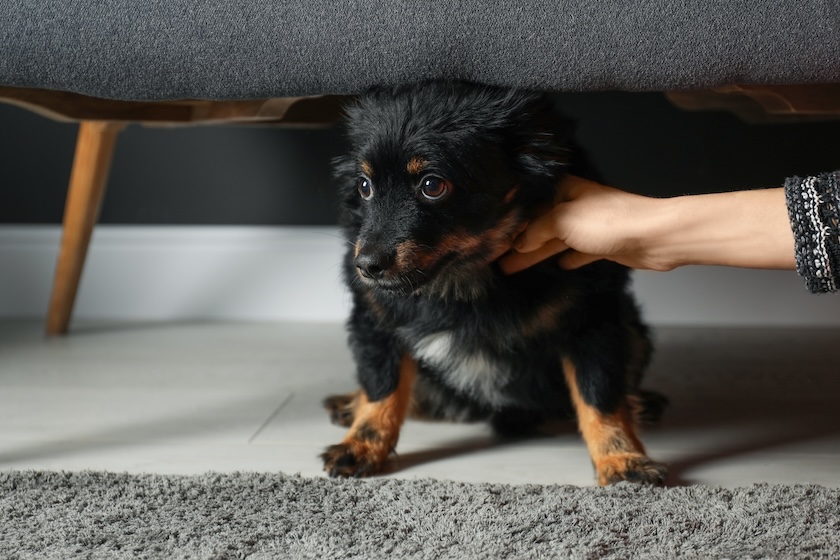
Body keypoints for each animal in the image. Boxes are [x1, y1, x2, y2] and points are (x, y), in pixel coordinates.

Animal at [324, 80, 668, 486]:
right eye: (364, 186)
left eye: (432, 185)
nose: (366, 266)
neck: (463, 283)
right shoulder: (375, 322)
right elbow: (382, 387)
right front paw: (362, 445)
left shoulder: (594, 320)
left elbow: (599, 396)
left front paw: (622, 458)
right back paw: (348, 402)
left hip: (633, 328)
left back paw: (642, 401)